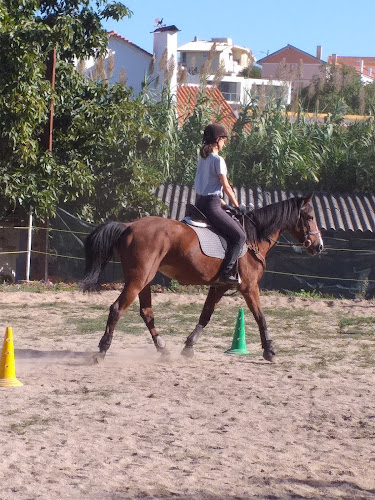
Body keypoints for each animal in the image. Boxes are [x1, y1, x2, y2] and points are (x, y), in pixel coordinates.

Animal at [82, 193, 324, 362]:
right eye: (310, 217)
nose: (319, 246)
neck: (252, 238)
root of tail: (128, 226)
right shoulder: (249, 287)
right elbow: (260, 317)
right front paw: (270, 351)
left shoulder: (219, 287)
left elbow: (205, 316)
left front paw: (188, 347)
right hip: (137, 279)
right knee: (117, 308)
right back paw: (102, 350)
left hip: (145, 280)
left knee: (146, 312)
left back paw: (163, 349)